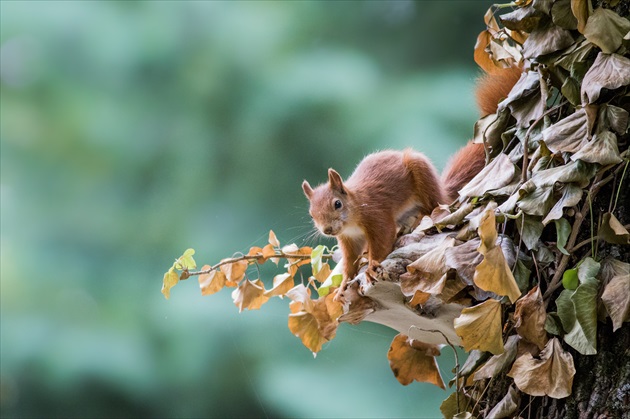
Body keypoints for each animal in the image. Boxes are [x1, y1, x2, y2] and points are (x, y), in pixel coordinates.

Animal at [304, 66, 520, 298]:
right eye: (312, 214)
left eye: (337, 204)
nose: (327, 230)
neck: (352, 215)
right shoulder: (348, 239)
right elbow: (350, 261)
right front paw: (344, 283)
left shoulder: (376, 215)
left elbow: (382, 240)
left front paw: (371, 266)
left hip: (422, 177)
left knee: (434, 206)